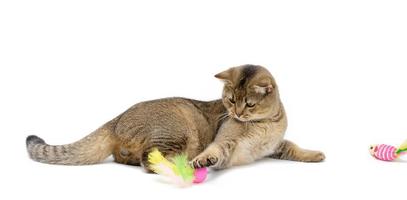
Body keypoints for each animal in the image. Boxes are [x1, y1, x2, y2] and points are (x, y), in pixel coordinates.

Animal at [26, 64, 326, 172]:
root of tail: (117, 118)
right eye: (230, 100)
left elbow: (294, 147)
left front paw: (315, 154)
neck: (265, 124)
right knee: (149, 159)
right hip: (178, 129)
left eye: (249, 104)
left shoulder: (276, 145)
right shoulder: (225, 141)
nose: (236, 113)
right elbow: (216, 151)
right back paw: (179, 164)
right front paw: (204, 161)